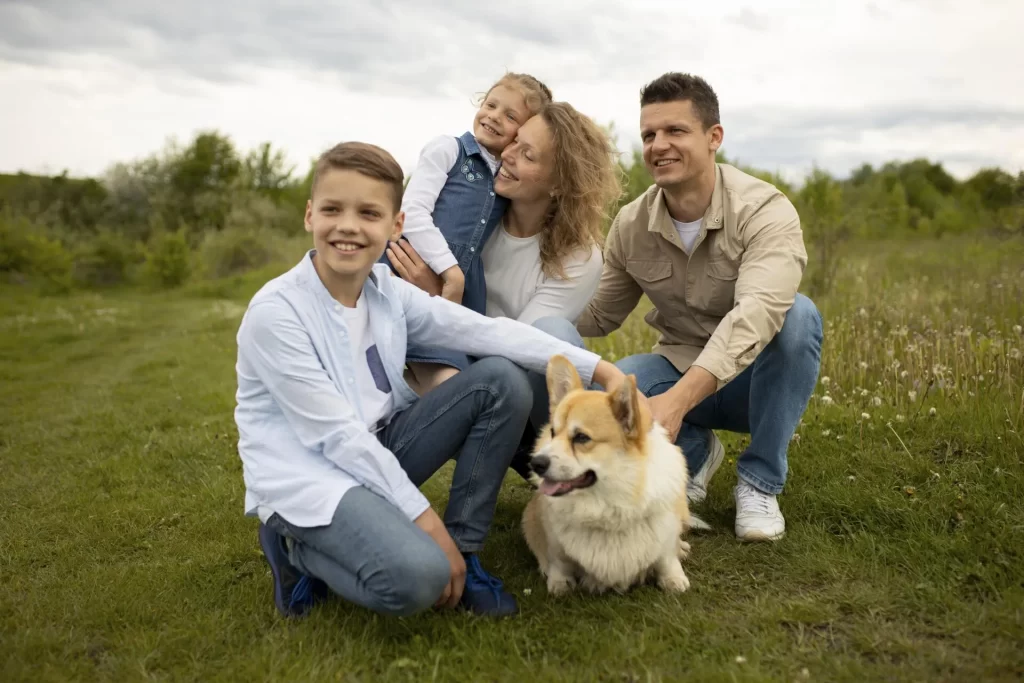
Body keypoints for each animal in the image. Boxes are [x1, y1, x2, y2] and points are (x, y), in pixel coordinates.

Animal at [520, 356, 704, 593]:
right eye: (553, 433)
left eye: (581, 437)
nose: (536, 463)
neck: (607, 504)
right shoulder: (554, 540)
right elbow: (559, 561)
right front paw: (560, 583)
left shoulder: (665, 530)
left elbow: (665, 557)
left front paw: (673, 579)